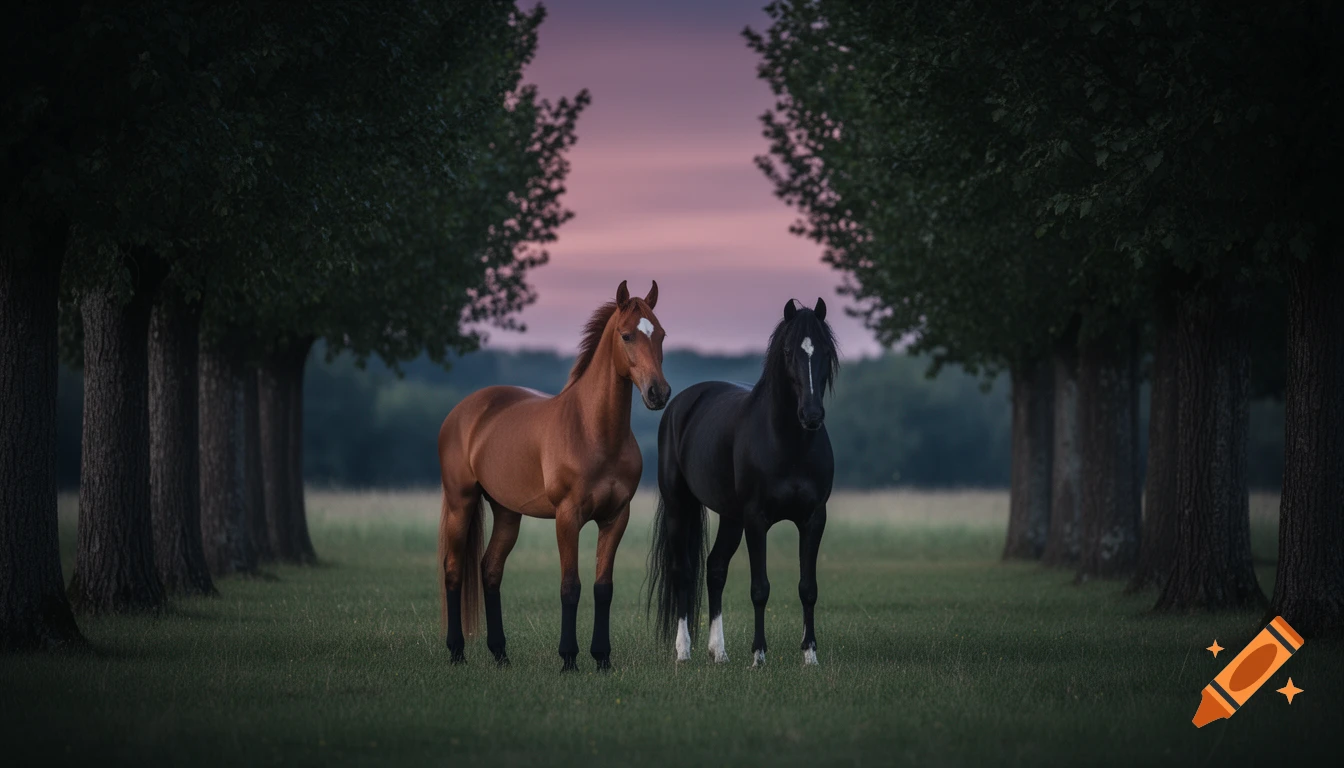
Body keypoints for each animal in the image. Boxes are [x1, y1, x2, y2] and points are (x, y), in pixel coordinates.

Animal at [437, 280, 670, 671]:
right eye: (626, 335)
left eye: (662, 334)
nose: (658, 393)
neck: (593, 431)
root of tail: (462, 412)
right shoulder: (567, 517)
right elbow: (570, 586)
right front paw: (569, 659)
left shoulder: (615, 517)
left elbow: (603, 588)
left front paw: (602, 658)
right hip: (461, 503)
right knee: (454, 570)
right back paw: (456, 652)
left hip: (507, 513)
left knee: (490, 570)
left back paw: (501, 654)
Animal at [647, 297, 837, 666]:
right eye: (789, 351)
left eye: (824, 350)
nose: (811, 415)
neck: (788, 445)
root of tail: (681, 403)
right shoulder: (756, 519)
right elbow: (759, 588)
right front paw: (759, 655)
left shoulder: (813, 519)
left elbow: (808, 588)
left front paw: (810, 656)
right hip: (680, 506)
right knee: (683, 571)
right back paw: (683, 651)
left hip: (730, 517)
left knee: (715, 568)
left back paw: (718, 652)